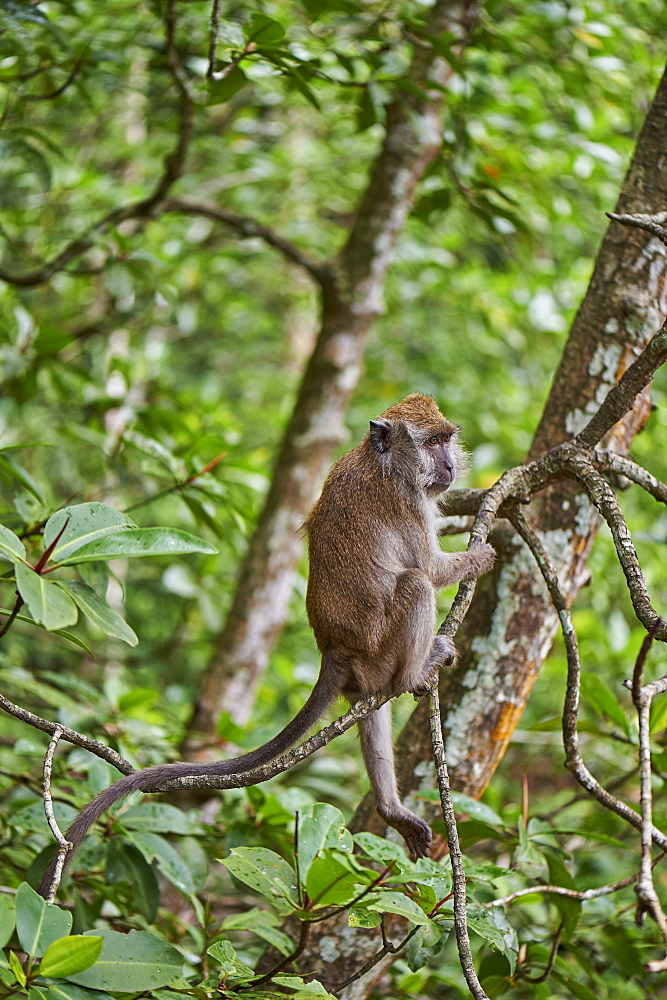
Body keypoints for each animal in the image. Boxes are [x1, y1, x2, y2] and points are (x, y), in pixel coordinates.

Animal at [37, 392, 496, 900]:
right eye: (432, 443)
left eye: (447, 440)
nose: (449, 465)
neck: (384, 462)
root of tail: (334, 649)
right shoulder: (409, 504)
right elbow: (431, 570)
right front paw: (480, 555)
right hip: (381, 648)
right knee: (415, 585)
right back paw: (419, 671)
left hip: (367, 670)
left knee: (372, 706)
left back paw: (389, 807)